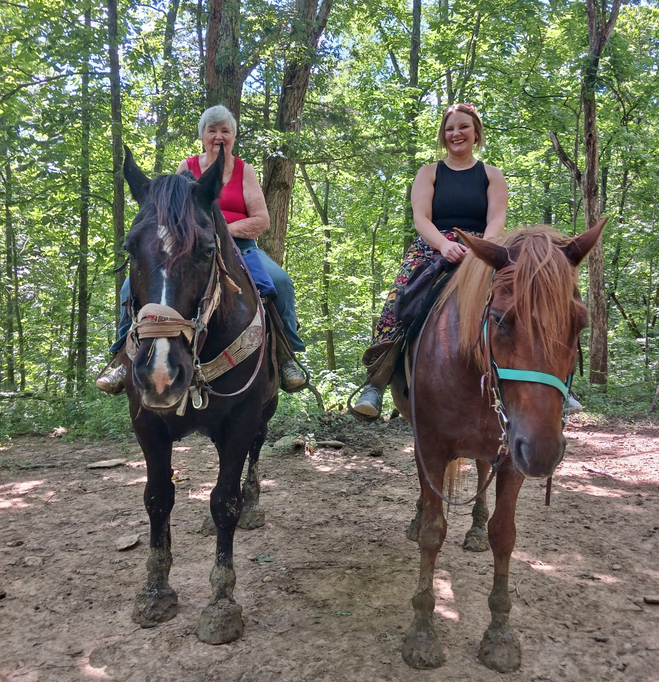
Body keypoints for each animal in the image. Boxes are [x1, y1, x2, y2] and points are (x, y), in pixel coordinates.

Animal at [121, 147, 278, 644]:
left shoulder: (241, 419)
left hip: (265, 413)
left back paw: (252, 504)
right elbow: (157, 497)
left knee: (253, 457)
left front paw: (222, 604)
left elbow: (225, 501)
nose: (159, 373)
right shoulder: (145, 420)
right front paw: (155, 591)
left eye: (207, 251)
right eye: (129, 247)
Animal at [390, 219, 606, 671]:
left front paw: (500, 634)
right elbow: (433, 533)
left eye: (579, 323)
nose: (543, 451)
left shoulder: (511, 456)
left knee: (480, 470)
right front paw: (422, 633)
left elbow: (504, 535)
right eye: (499, 319)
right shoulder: (430, 446)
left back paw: (474, 527)